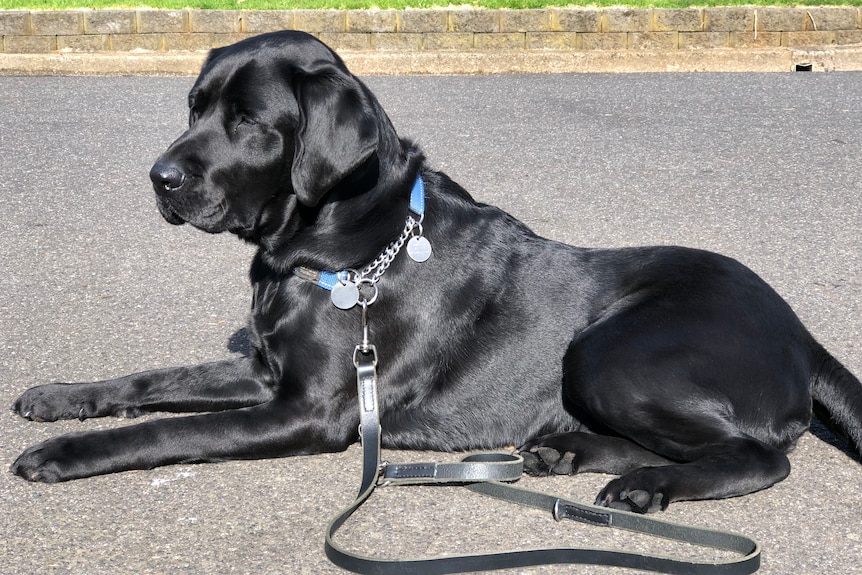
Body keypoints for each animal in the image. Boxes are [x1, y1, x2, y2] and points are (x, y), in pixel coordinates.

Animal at [11, 31, 862, 512]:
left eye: (250, 121)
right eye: (194, 106)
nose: (159, 177)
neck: (331, 243)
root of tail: (801, 333)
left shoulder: (308, 409)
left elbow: (166, 427)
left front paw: (64, 454)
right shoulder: (265, 372)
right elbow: (151, 379)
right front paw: (60, 396)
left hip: (610, 353)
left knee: (758, 453)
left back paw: (647, 485)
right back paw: (569, 450)